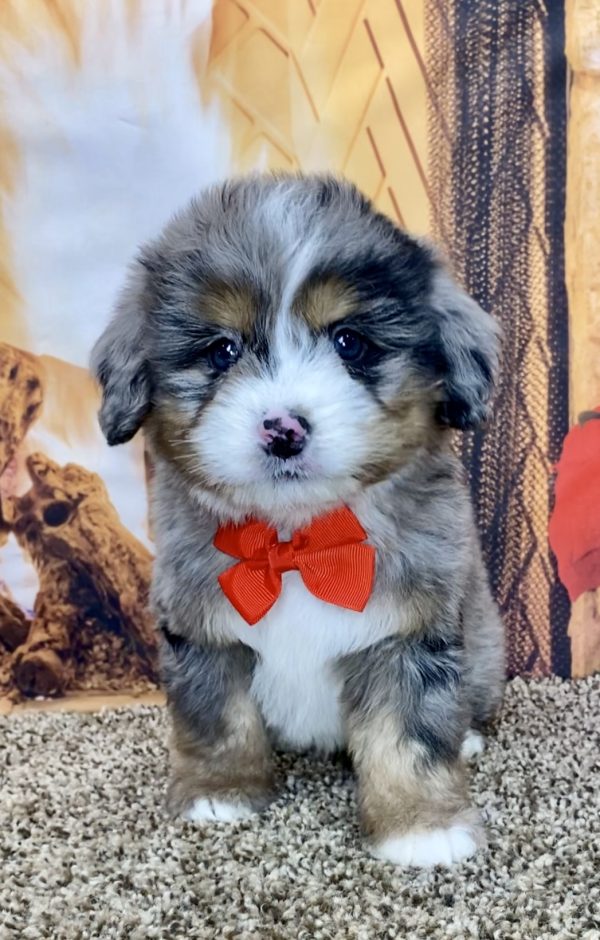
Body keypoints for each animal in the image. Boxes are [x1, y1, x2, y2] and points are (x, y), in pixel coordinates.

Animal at [92, 174, 506, 868]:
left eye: (350, 342)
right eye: (221, 350)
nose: (283, 429)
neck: (298, 541)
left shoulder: (410, 631)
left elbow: (408, 734)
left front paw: (422, 826)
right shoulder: (202, 631)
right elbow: (217, 719)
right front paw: (220, 791)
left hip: (485, 643)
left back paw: (469, 737)